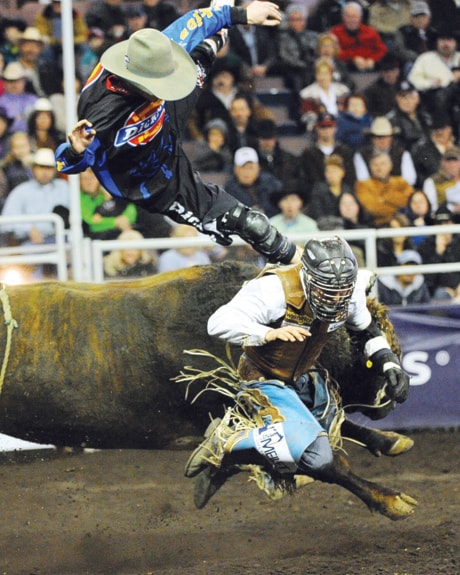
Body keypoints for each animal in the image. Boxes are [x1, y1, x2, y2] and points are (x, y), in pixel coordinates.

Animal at [0, 264, 416, 520]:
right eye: (362, 354)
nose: (392, 393)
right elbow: (327, 461)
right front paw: (392, 500)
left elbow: (340, 428)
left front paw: (388, 440)